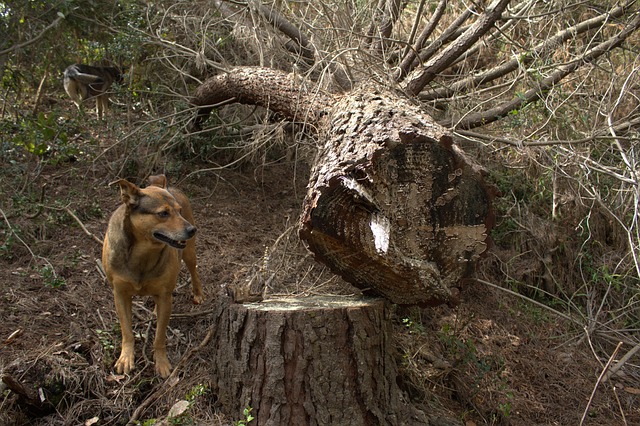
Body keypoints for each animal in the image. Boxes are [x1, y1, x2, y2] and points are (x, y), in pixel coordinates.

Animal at [102, 175, 202, 378]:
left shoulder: (164, 295)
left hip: (189, 252)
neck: (143, 251)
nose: (192, 229)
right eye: (163, 213)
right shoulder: (120, 294)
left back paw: (197, 293)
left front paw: (161, 362)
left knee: (193, 270)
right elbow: (127, 331)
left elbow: (160, 336)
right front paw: (126, 357)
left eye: (179, 211)